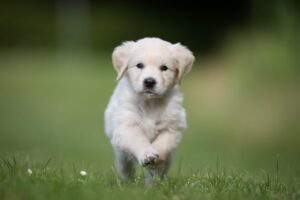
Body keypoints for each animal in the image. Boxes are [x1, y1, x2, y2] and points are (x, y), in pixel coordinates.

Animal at [105, 37, 195, 184]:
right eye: (139, 65)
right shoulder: (126, 126)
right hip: (120, 152)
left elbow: (163, 144)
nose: (149, 81)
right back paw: (127, 182)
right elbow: (138, 139)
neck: (150, 103)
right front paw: (147, 154)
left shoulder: (172, 128)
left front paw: (155, 159)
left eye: (164, 68)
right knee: (125, 166)